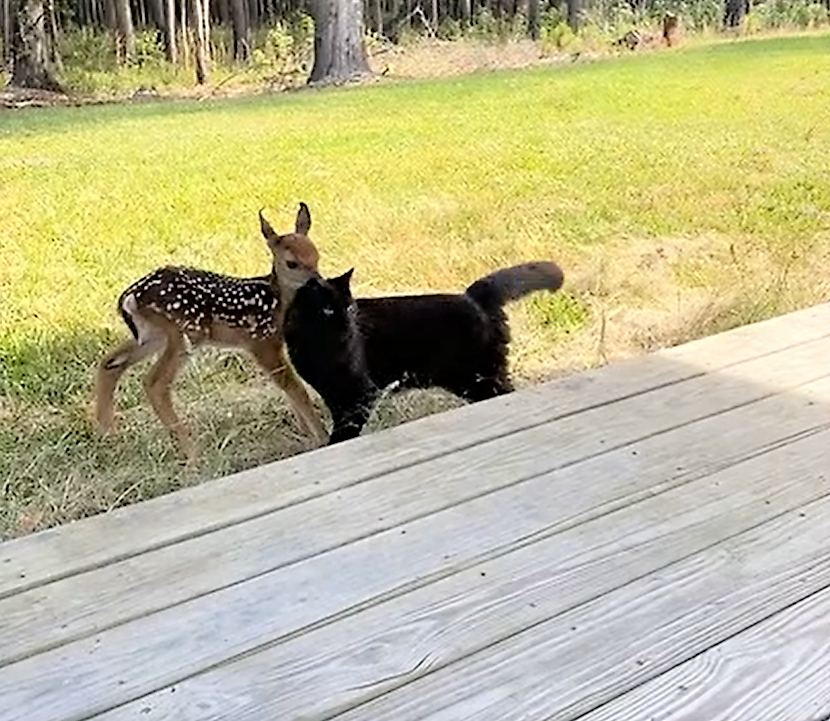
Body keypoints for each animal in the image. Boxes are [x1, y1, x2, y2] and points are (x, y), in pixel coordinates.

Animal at [94, 203, 327, 459]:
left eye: (317, 255)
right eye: (291, 263)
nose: (319, 283)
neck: (276, 303)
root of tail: (130, 297)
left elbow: (287, 389)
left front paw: (305, 432)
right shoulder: (260, 342)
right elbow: (295, 388)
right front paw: (321, 436)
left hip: (152, 335)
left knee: (110, 363)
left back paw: (107, 430)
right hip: (183, 332)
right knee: (154, 383)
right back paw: (191, 453)